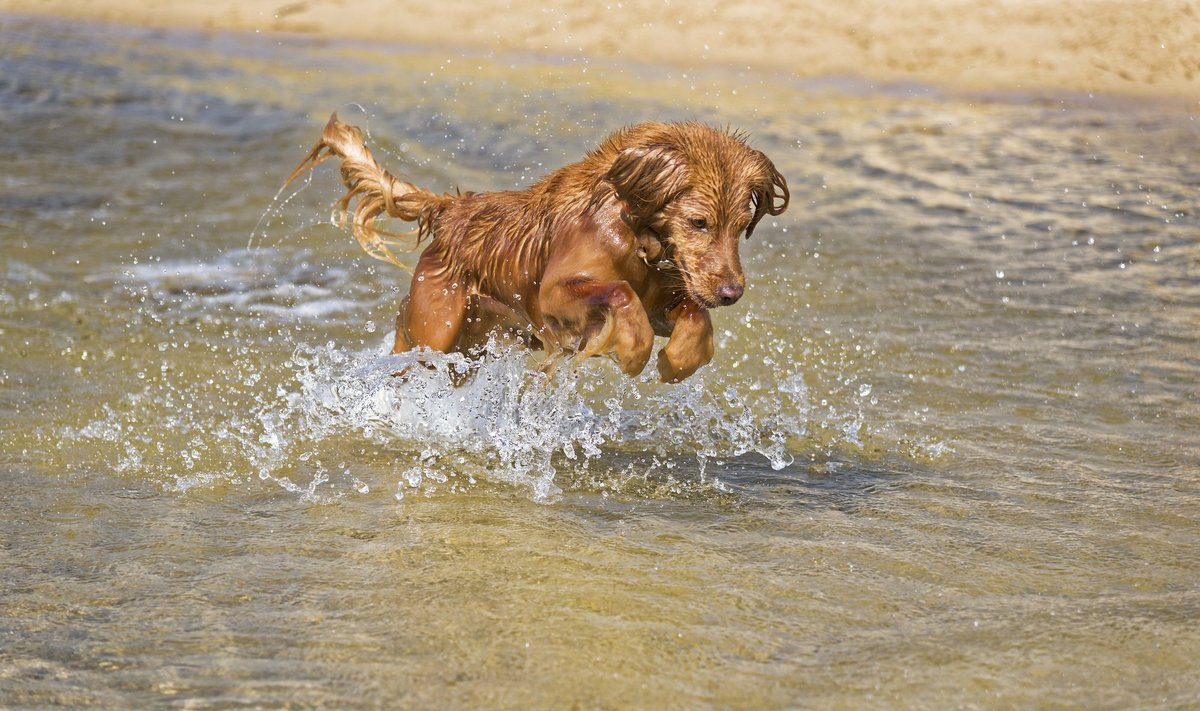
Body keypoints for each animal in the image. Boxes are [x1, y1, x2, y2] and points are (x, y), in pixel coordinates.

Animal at [283, 116, 787, 384]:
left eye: (740, 226)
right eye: (698, 222)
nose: (732, 293)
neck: (634, 227)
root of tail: (453, 210)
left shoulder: (663, 296)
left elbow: (692, 313)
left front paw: (679, 359)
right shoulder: (555, 296)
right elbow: (618, 293)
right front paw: (634, 351)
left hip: (477, 343)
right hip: (436, 330)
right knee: (405, 350)